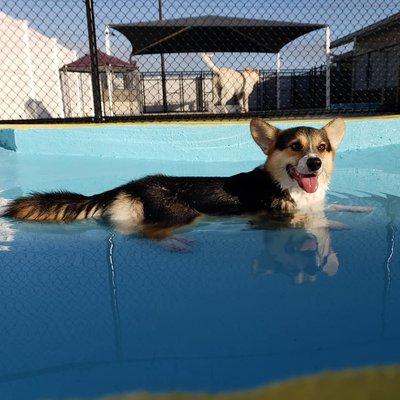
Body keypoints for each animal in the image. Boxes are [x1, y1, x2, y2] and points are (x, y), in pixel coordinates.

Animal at [2, 117, 346, 239]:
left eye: (322, 148)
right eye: (295, 147)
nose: (314, 163)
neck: (285, 184)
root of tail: (131, 185)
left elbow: (334, 209)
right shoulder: (274, 216)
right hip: (182, 212)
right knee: (149, 232)